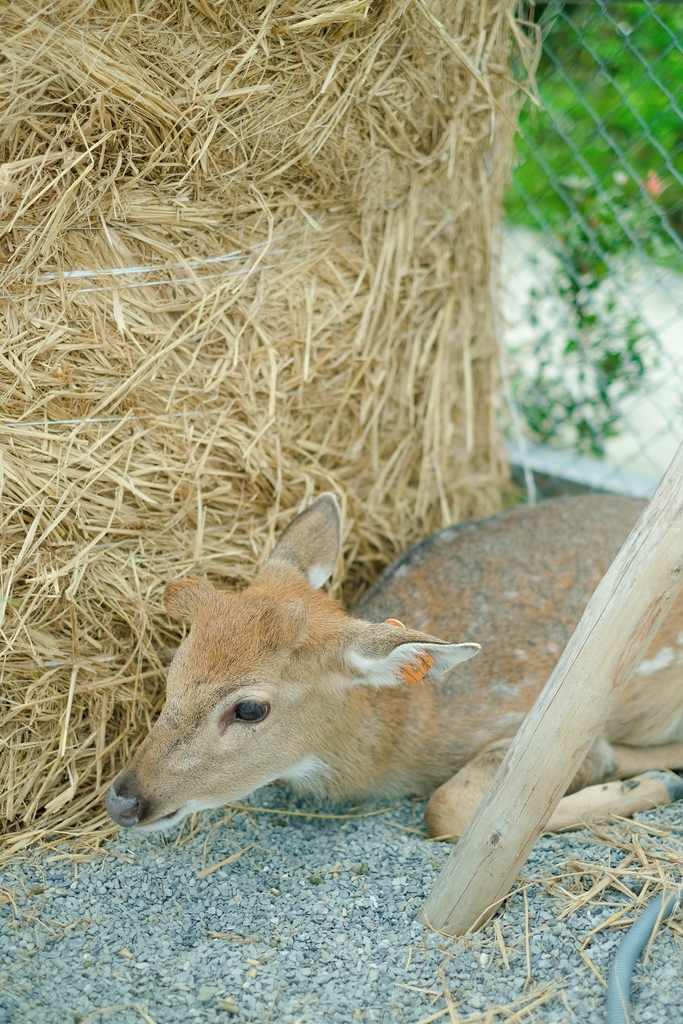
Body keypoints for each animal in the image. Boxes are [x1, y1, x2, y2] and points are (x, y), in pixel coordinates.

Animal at [105, 495, 683, 839]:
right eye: (175, 672)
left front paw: (640, 782)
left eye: (249, 708)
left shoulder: (543, 726)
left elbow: (448, 809)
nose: (123, 800)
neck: (401, 739)